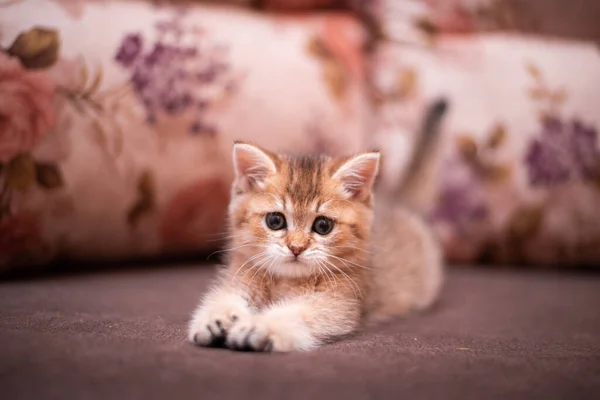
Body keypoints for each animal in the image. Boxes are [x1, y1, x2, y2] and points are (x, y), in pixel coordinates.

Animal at [190, 100, 448, 354]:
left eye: (323, 225)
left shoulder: (337, 304)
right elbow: (226, 296)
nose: (296, 248)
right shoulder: (241, 276)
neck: (287, 281)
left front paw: (260, 326)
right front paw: (216, 318)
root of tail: (398, 200)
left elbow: (298, 314)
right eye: (275, 221)